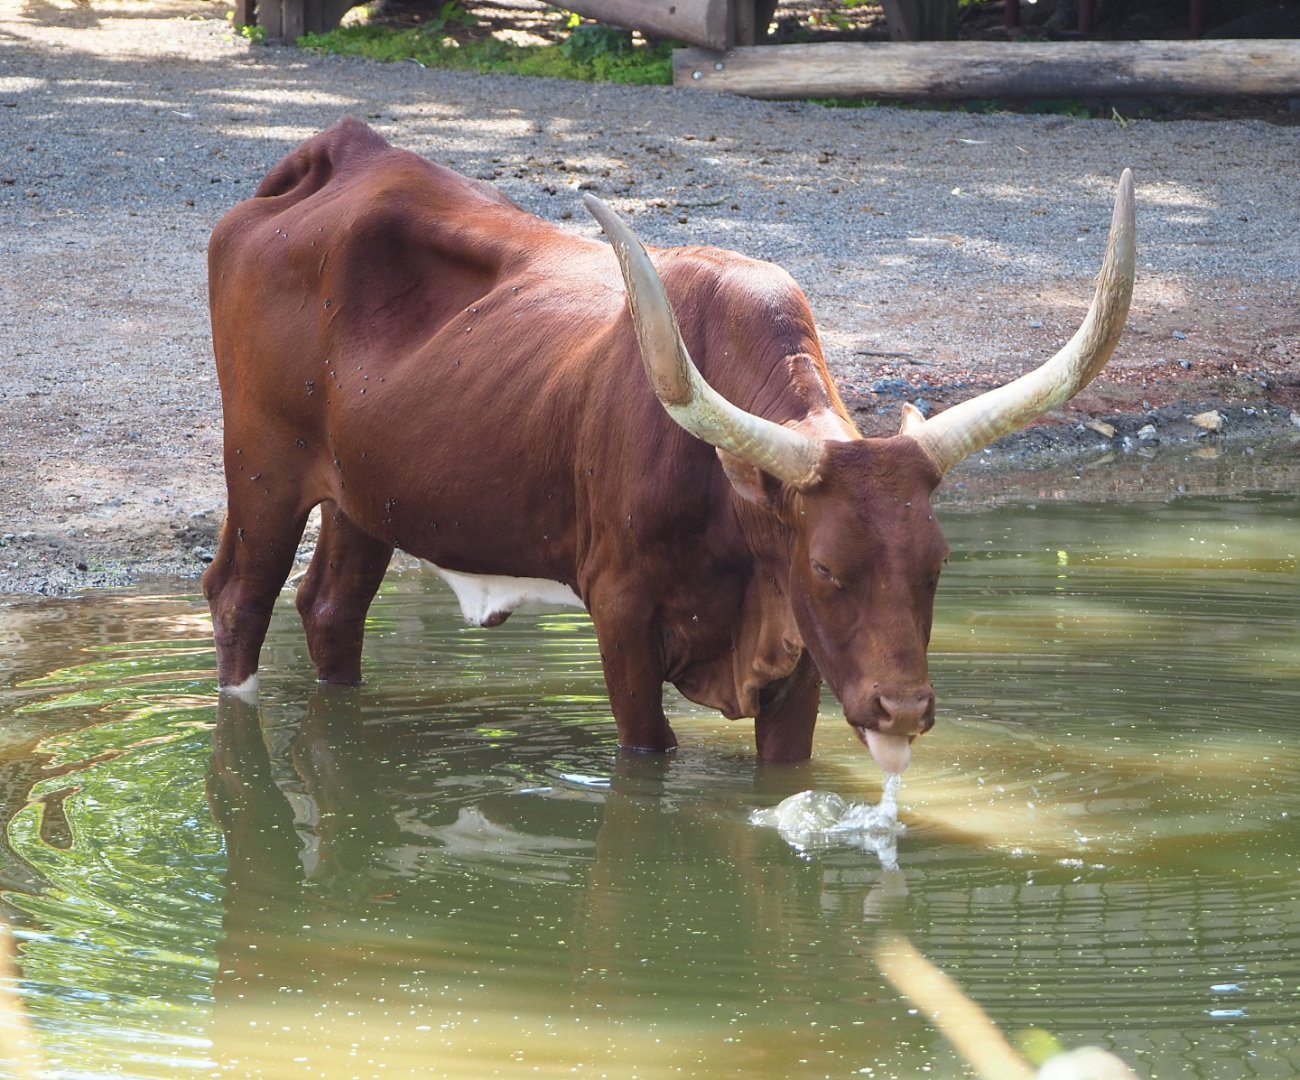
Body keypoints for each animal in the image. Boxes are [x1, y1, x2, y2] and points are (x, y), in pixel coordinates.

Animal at [203, 117, 1134, 770]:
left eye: (936, 565)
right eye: (828, 567)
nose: (902, 711)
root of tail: (346, 150)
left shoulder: (800, 661)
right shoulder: (621, 615)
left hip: (363, 496)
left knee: (330, 610)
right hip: (262, 468)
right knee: (240, 599)